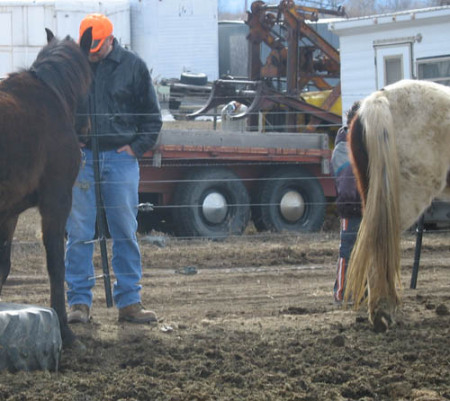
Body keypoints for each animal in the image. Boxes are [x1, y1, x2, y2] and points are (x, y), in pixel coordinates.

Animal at [0, 29, 92, 346]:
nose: (86, 131)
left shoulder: (10, 212)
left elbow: (3, 265)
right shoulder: (57, 202)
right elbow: (56, 264)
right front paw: (65, 331)